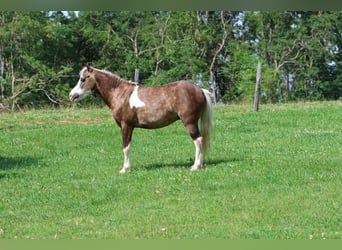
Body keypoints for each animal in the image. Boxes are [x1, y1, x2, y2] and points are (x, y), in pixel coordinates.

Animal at [69, 65, 212, 173]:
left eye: (83, 79)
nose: (71, 95)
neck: (120, 94)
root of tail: (200, 89)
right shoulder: (129, 127)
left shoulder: (126, 125)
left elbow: (125, 147)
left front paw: (125, 169)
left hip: (189, 123)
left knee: (198, 140)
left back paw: (195, 166)